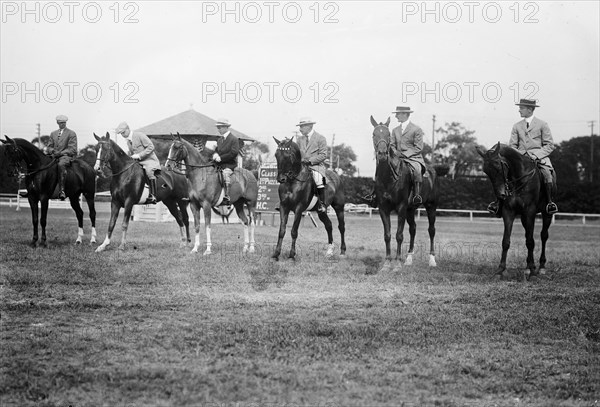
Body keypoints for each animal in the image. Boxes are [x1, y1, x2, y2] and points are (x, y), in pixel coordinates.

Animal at [368, 116, 438, 272]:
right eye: (374, 134)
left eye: (388, 135)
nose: (382, 154)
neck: (388, 177)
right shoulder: (383, 209)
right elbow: (387, 235)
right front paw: (387, 263)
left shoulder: (400, 208)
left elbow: (399, 235)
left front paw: (397, 264)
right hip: (410, 210)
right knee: (413, 229)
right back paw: (409, 259)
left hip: (431, 206)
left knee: (431, 230)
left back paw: (432, 260)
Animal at [476, 143, 556, 280]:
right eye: (486, 171)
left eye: (498, 167)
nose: (501, 195)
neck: (519, 177)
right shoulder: (508, 211)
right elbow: (506, 241)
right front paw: (500, 270)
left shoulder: (530, 211)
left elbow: (530, 242)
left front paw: (533, 272)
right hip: (523, 217)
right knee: (528, 235)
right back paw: (527, 267)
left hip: (546, 214)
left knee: (543, 236)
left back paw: (541, 267)